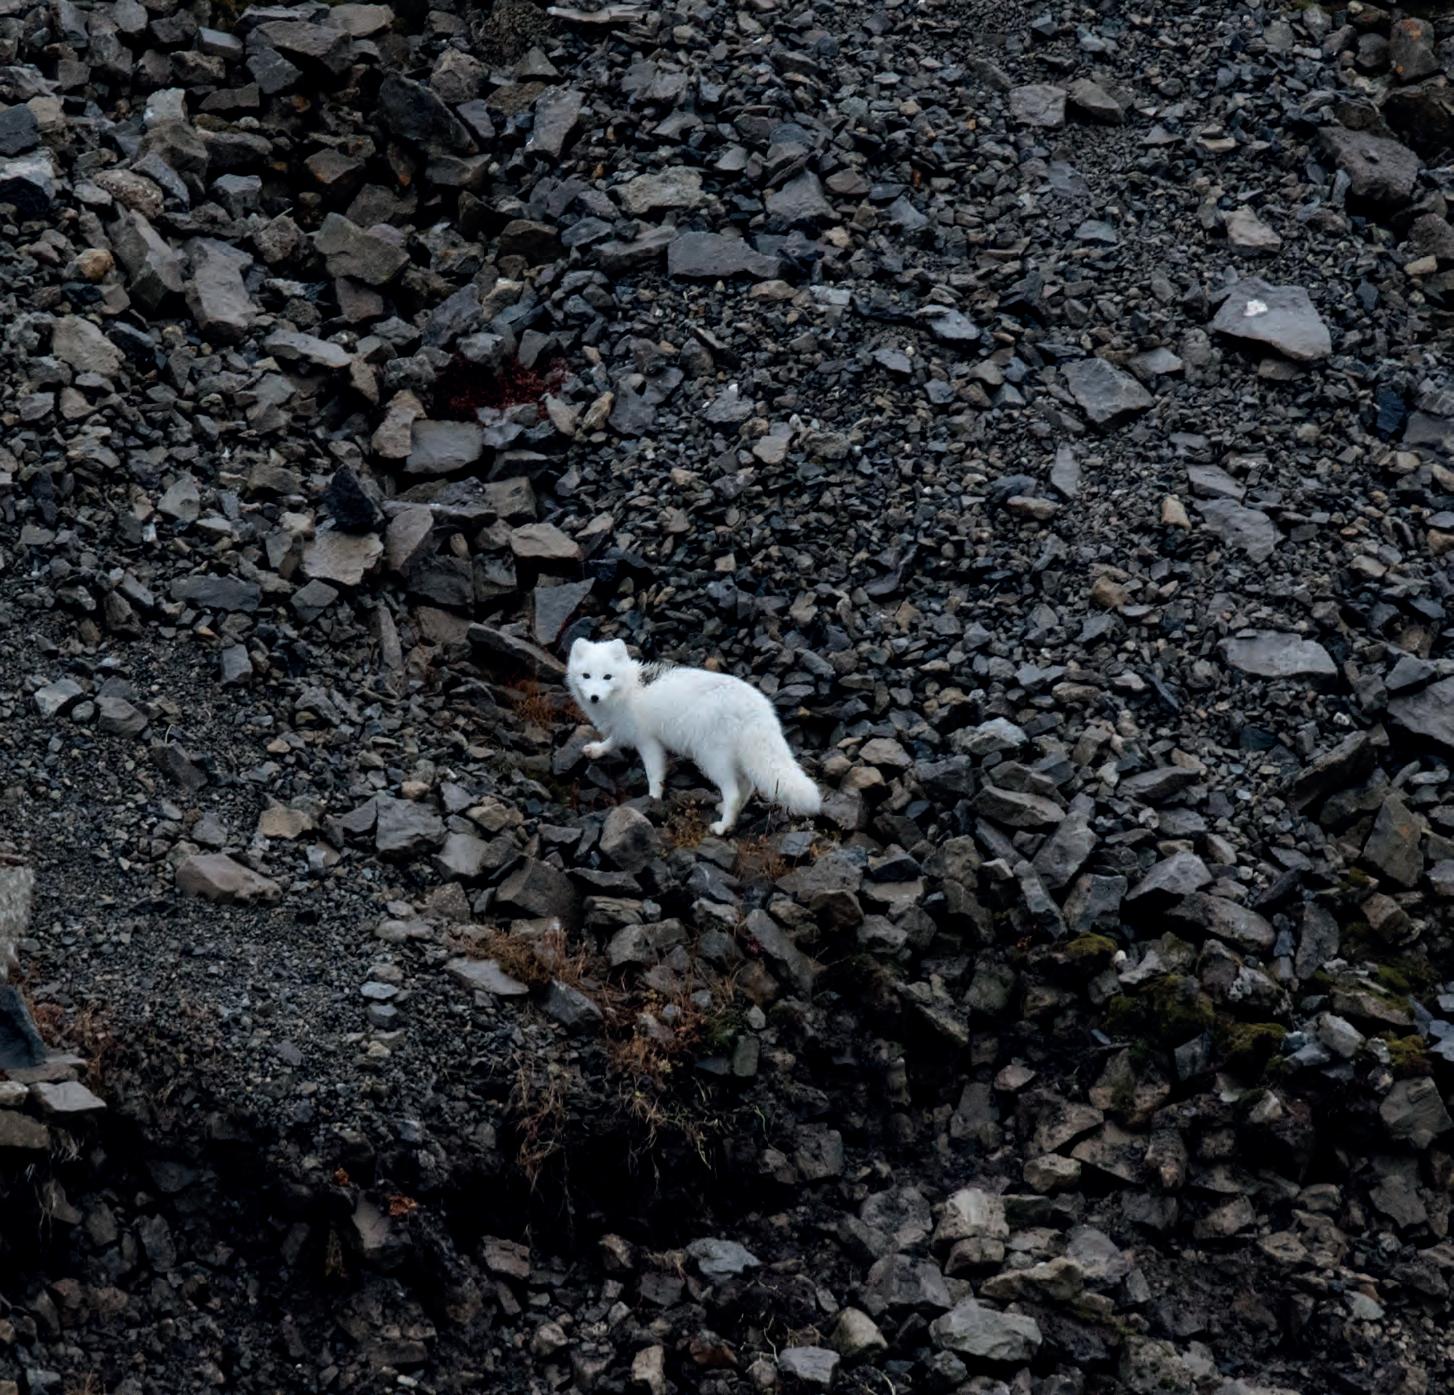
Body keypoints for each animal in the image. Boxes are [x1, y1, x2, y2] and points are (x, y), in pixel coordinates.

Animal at [566, 638, 822, 836]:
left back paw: (723, 826)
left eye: (607, 677)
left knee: (734, 792)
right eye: (586, 675)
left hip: (712, 758)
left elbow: (654, 773)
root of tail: (759, 709)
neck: (627, 690)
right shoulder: (624, 728)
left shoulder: (648, 741)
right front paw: (596, 749)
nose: (594, 697)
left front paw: (653, 799)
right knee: (747, 786)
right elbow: (612, 741)